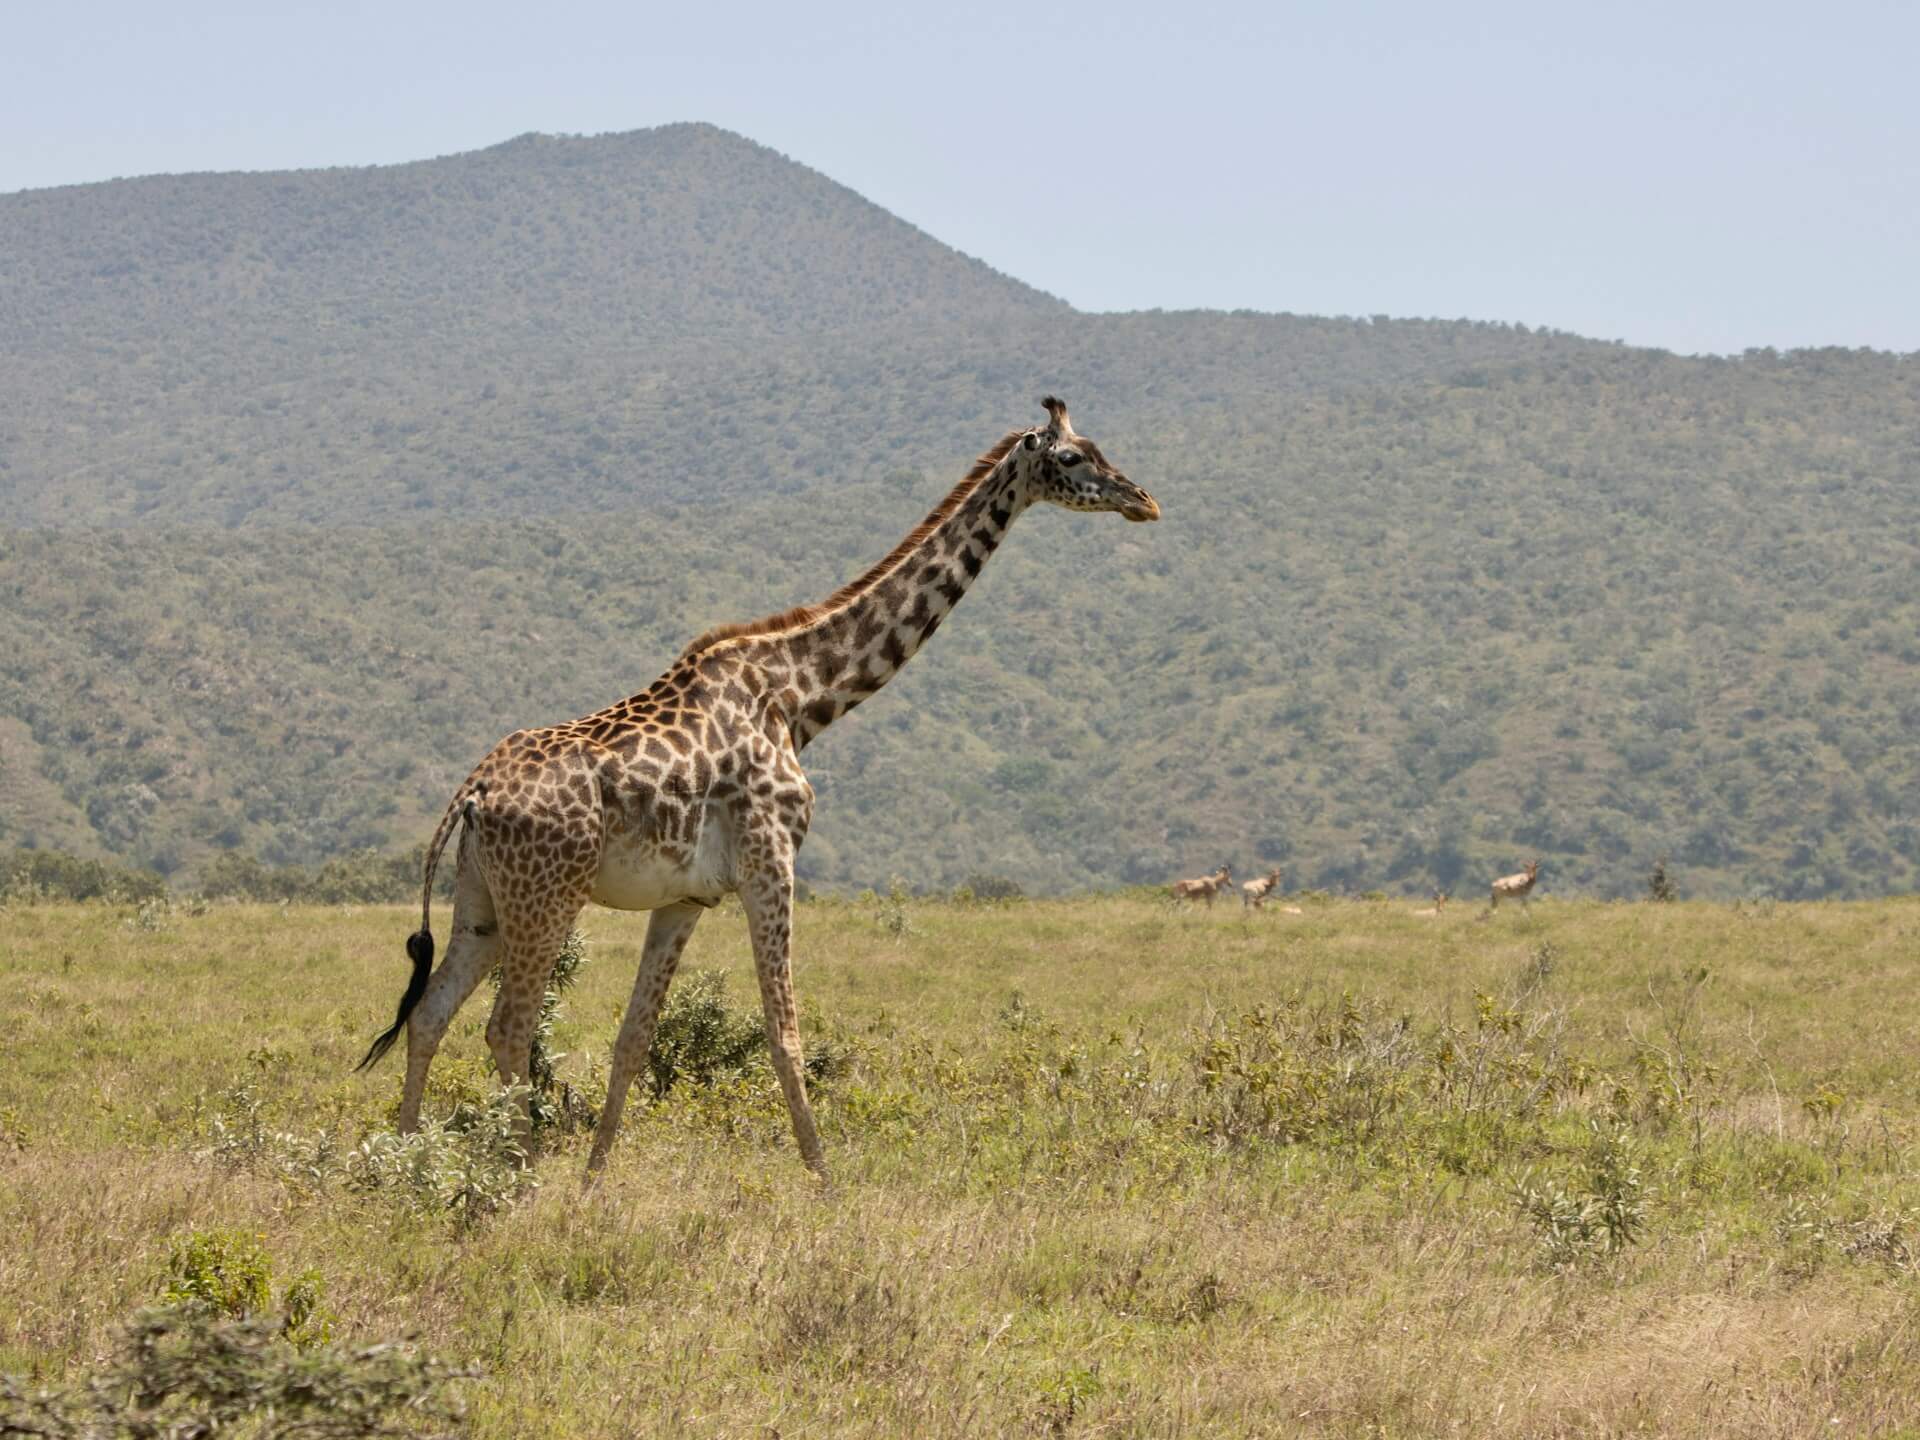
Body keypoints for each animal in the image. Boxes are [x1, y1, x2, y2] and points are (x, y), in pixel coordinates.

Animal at [359, 397, 1152, 1182]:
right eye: (1073, 457)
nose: (1143, 500)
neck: (800, 697)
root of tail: (472, 794)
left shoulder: (684, 898)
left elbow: (634, 1038)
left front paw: (593, 1182)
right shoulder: (772, 862)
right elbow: (785, 1032)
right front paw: (825, 1183)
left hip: (482, 901)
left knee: (430, 1014)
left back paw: (404, 1161)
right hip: (547, 897)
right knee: (509, 1026)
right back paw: (515, 1175)